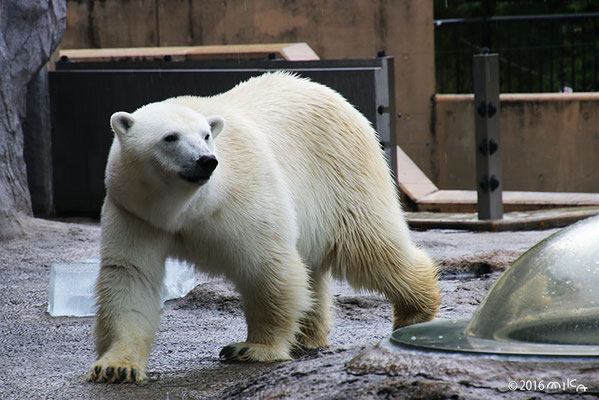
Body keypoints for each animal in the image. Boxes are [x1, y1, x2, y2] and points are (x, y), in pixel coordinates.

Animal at [89, 73, 442, 382]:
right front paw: (116, 366)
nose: (206, 161)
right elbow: (131, 275)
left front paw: (252, 348)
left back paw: (415, 312)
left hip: (343, 173)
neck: (184, 208)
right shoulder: (135, 212)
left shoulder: (242, 196)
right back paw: (308, 335)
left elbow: (266, 265)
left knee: (369, 246)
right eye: (170, 137)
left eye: (205, 135)